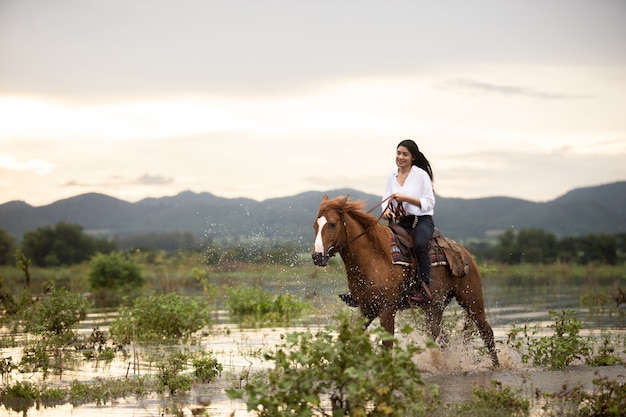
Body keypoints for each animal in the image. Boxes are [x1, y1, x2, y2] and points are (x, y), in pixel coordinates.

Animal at [310, 193, 498, 366]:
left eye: (332, 224)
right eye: (315, 225)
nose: (317, 256)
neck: (374, 258)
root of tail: (466, 254)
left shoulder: (387, 309)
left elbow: (387, 346)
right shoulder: (366, 308)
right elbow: (352, 339)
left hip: (472, 301)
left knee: (486, 332)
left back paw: (496, 366)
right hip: (434, 307)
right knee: (441, 339)